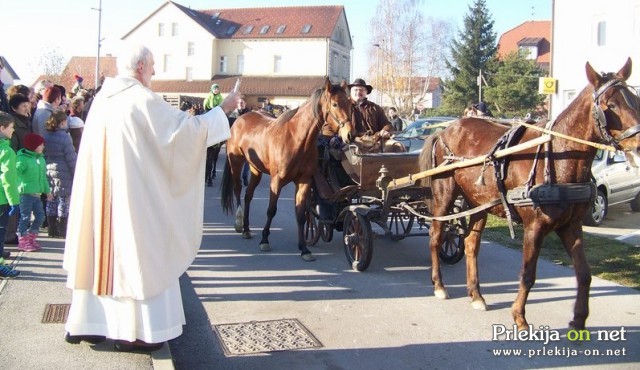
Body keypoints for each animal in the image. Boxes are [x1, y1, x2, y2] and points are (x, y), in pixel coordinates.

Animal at [219, 77, 350, 260]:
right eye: (335, 104)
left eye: (350, 103)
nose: (349, 134)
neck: (296, 139)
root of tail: (239, 119)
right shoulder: (276, 181)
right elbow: (271, 210)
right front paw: (264, 240)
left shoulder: (304, 182)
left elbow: (302, 214)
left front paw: (304, 248)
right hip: (236, 163)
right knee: (238, 190)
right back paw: (239, 223)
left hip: (255, 170)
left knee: (248, 195)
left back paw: (246, 229)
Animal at [418, 57, 640, 330]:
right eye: (611, 105)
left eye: (635, 99)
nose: (638, 147)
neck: (558, 155)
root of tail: (444, 130)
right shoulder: (534, 226)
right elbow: (527, 274)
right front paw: (519, 317)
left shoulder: (571, 225)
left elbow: (584, 274)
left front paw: (578, 320)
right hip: (444, 196)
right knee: (436, 237)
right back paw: (439, 285)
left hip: (478, 202)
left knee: (470, 244)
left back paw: (476, 295)